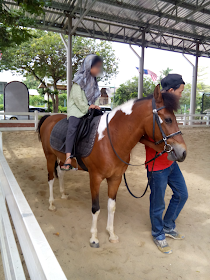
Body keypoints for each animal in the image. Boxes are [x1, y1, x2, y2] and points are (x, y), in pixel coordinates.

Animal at [37, 85, 185, 247]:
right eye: (168, 119)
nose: (182, 152)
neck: (111, 138)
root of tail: (49, 117)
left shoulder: (115, 178)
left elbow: (111, 206)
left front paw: (111, 234)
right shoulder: (95, 178)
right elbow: (96, 208)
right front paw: (94, 238)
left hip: (63, 159)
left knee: (60, 171)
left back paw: (63, 193)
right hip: (50, 156)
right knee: (51, 178)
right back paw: (52, 204)